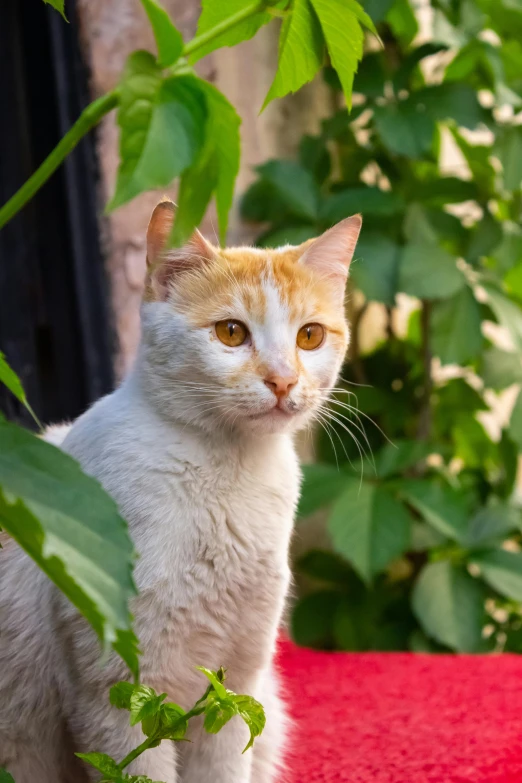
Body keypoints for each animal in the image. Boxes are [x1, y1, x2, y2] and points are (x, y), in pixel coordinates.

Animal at [0, 202, 360, 783]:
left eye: (310, 337)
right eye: (231, 332)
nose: (283, 380)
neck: (227, 477)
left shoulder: (233, 692)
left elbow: (224, 768)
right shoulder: (117, 696)